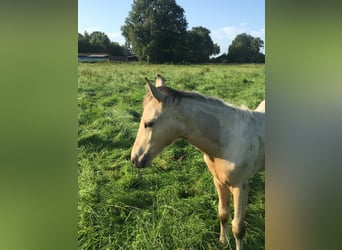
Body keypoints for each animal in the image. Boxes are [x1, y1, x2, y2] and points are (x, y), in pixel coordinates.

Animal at [130, 75, 266, 249]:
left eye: (149, 123)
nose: (135, 159)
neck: (226, 139)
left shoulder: (240, 186)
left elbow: (238, 228)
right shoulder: (219, 181)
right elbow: (223, 213)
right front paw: (222, 241)